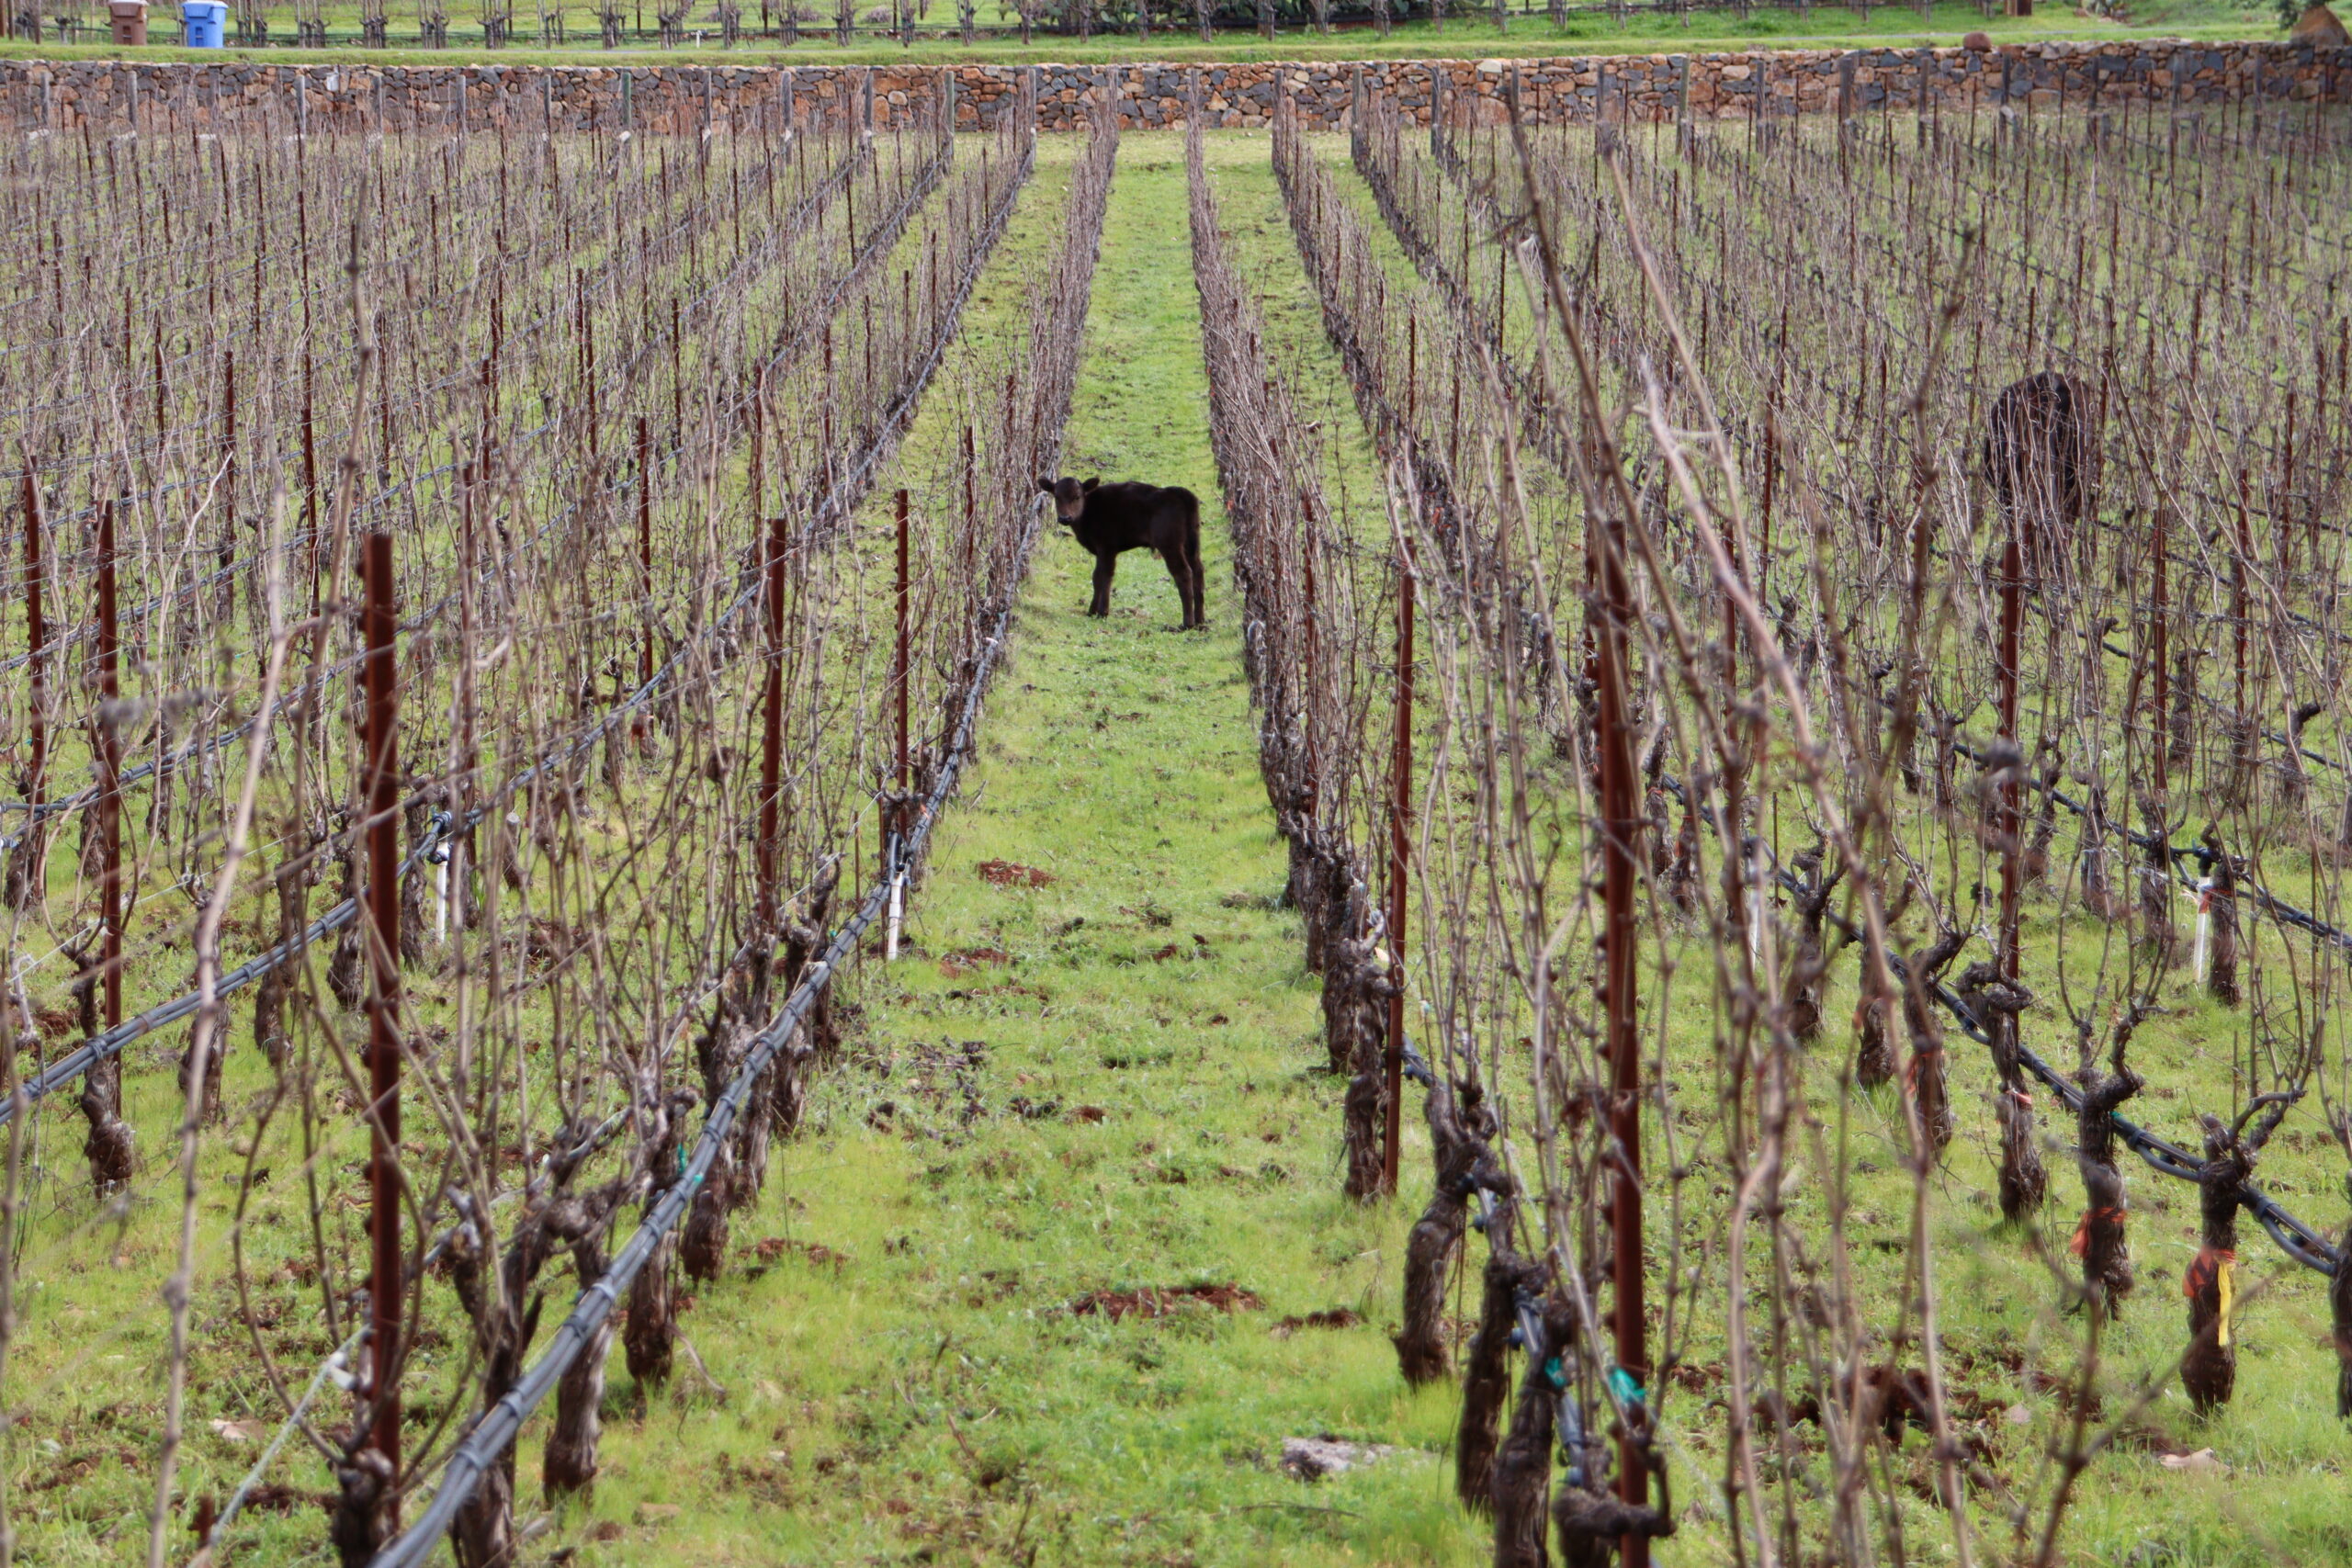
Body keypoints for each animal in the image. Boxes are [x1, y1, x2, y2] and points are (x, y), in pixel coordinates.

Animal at [1038, 476, 1206, 630]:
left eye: (1077, 496)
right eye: (1056, 496)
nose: (1065, 518)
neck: (1090, 507)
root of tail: (1178, 492)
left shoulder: (1107, 548)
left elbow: (1104, 575)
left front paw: (1102, 612)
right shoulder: (1102, 551)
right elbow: (1096, 576)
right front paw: (1092, 611)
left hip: (1170, 545)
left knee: (1183, 573)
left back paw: (1187, 623)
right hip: (1192, 545)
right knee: (1198, 570)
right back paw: (1200, 621)